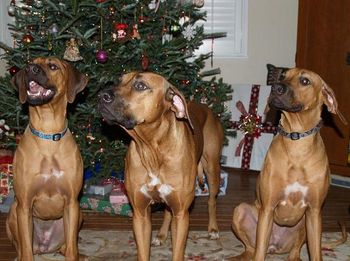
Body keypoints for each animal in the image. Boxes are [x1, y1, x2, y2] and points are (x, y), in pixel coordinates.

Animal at [6, 55, 88, 258]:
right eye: (30, 63)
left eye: (53, 66)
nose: (30, 69)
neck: (48, 132)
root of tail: (44, 248)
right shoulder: (24, 204)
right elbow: (26, 251)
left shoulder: (72, 203)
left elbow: (72, 250)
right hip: (13, 212)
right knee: (21, 247)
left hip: (79, 214)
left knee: (68, 246)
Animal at [98, 71, 224, 260]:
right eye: (119, 80)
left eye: (140, 86)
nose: (100, 95)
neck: (152, 149)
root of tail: (206, 107)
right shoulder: (140, 214)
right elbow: (143, 251)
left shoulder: (181, 215)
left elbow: (178, 251)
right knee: (167, 212)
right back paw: (162, 235)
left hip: (212, 169)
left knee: (211, 201)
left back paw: (213, 229)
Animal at [230, 67, 348, 260]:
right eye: (283, 76)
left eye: (305, 81)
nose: (275, 88)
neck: (296, 144)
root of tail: (275, 247)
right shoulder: (268, 208)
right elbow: (259, 252)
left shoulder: (314, 211)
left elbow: (316, 253)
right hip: (241, 211)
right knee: (252, 249)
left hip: (305, 223)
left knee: (296, 249)